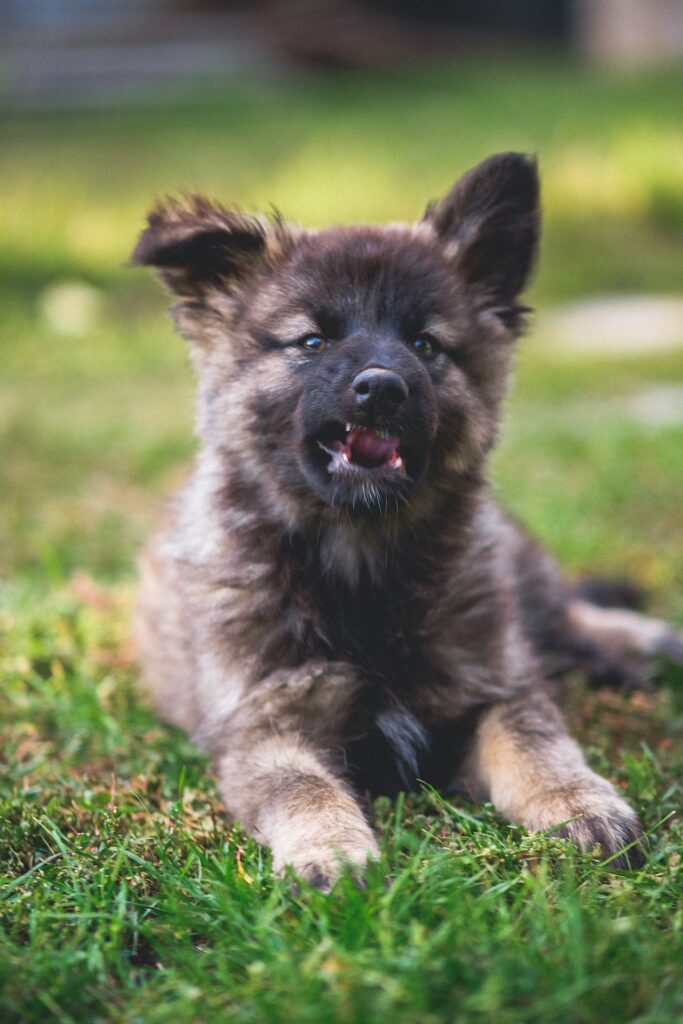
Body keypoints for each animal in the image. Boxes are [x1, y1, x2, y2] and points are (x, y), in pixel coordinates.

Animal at [131, 151, 679, 888]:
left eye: (425, 343)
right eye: (311, 340)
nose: (381, 388)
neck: (360, 559)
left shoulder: (490, 686)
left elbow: (536, 743)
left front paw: (580, 804)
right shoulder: (268, 725)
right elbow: (302, 788)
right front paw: (330, 849)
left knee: (572, 617)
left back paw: (650, 643)